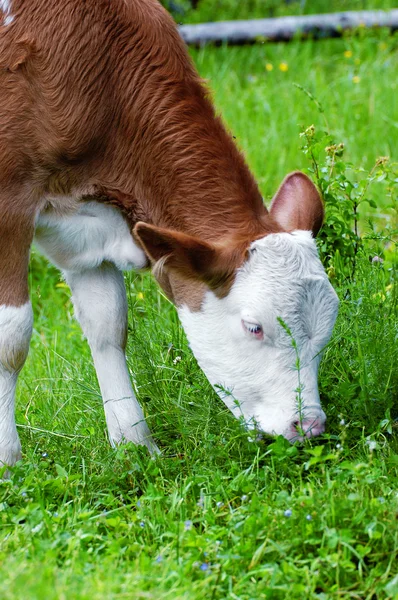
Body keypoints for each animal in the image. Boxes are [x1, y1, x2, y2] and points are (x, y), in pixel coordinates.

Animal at [0, 0, 338, 468]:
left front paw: (135, 446)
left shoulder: (85, 228)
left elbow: (107, 325)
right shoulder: (9, 199)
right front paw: (8, 461)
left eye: (328, 327)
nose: (307, 426)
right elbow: (11, 337)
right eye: (254, 327)